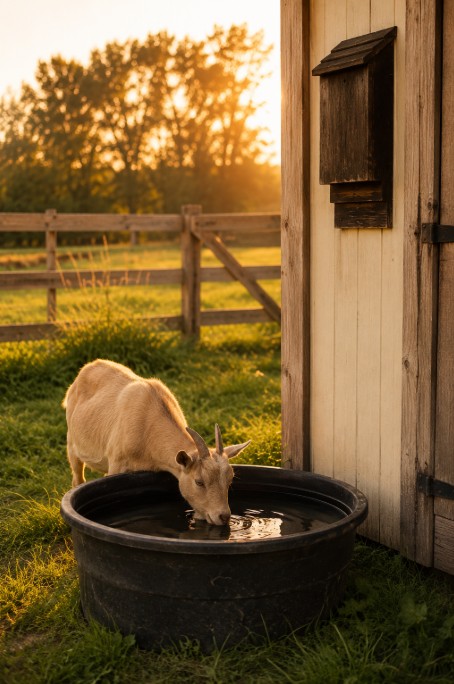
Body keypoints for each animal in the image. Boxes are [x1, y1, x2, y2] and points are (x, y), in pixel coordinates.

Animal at [62, 359, 250, 526]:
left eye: (230, 480)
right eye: (199, 482)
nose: (223, 516)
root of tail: (87, 368)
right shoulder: (116, 464)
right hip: (72, 443)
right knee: (77, 478)